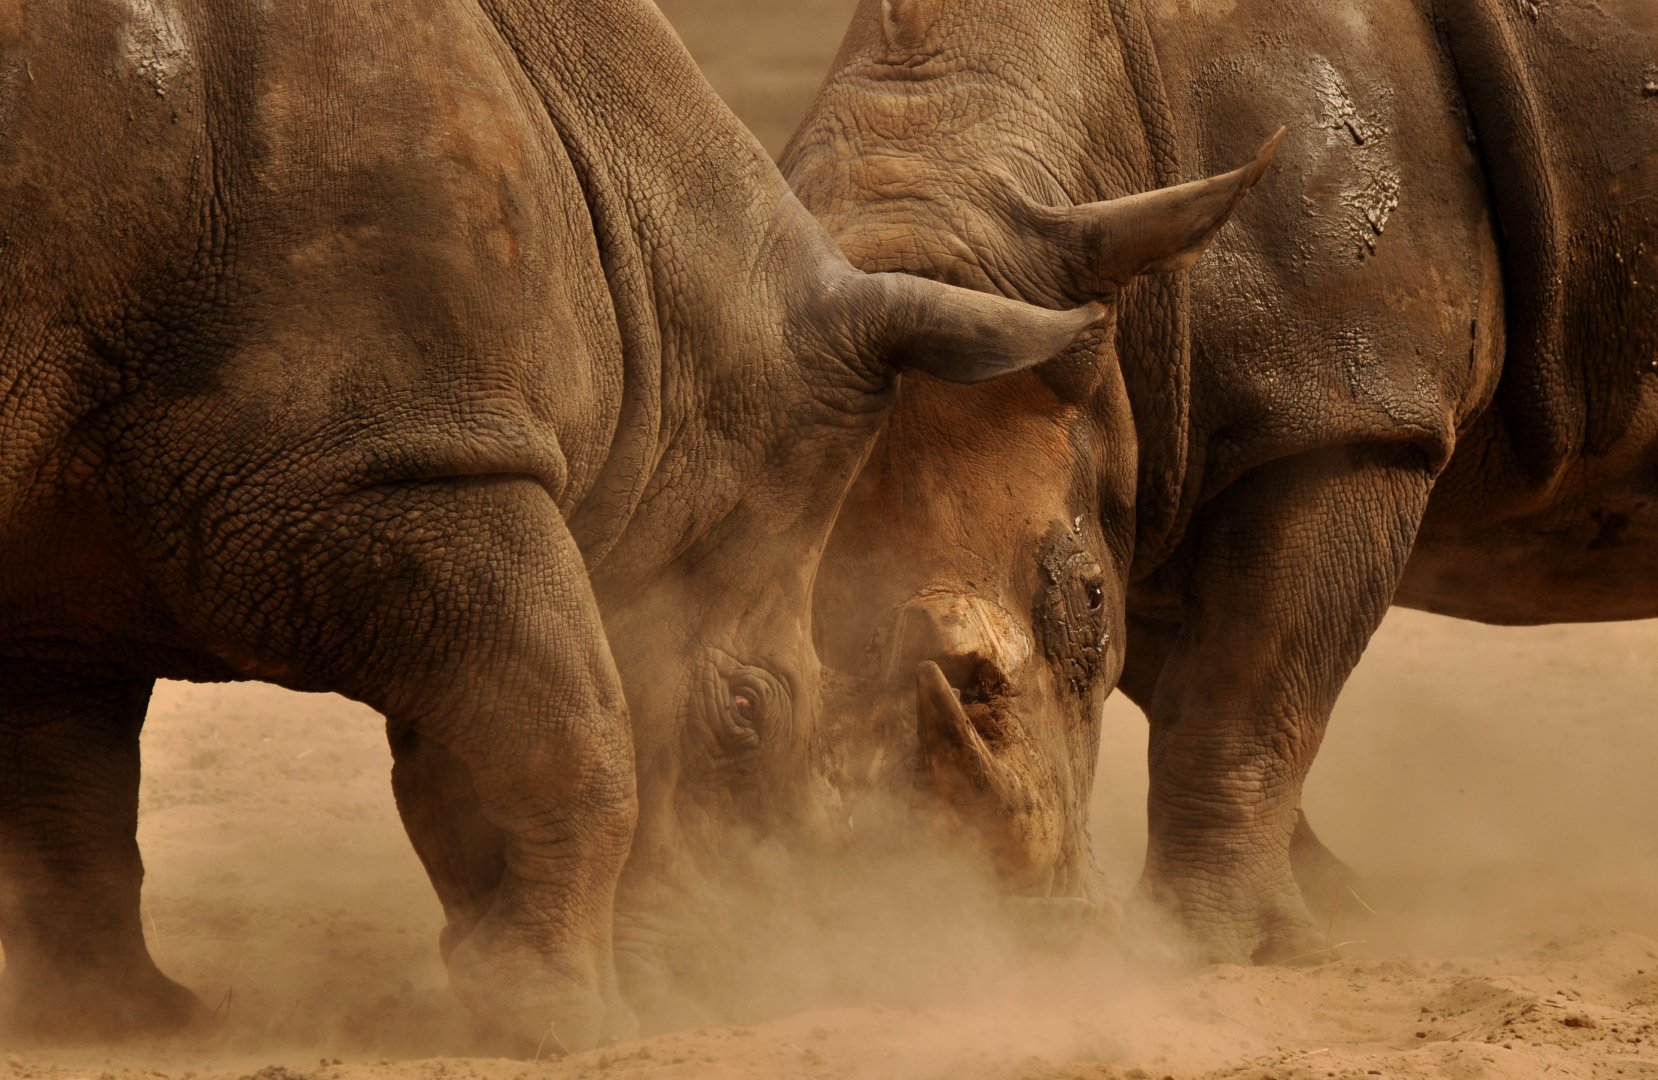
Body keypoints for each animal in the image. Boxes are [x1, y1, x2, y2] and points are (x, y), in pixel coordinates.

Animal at [0, 0, 1110, 1048]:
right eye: (747, 712)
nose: (717, 984)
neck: (663, 334)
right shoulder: (379, 467)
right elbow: (573, 722)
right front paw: (560, 1021)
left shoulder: (83, 529)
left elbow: (70, 778)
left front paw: (119, 1016)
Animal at [791, 0, 1658, 964]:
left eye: (1089, 597)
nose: (1006, 931)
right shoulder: (1152, 438)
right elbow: (1197, 685)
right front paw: (1338, 909)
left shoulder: (1346, 409)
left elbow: (1244, 685)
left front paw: (1225, 946)